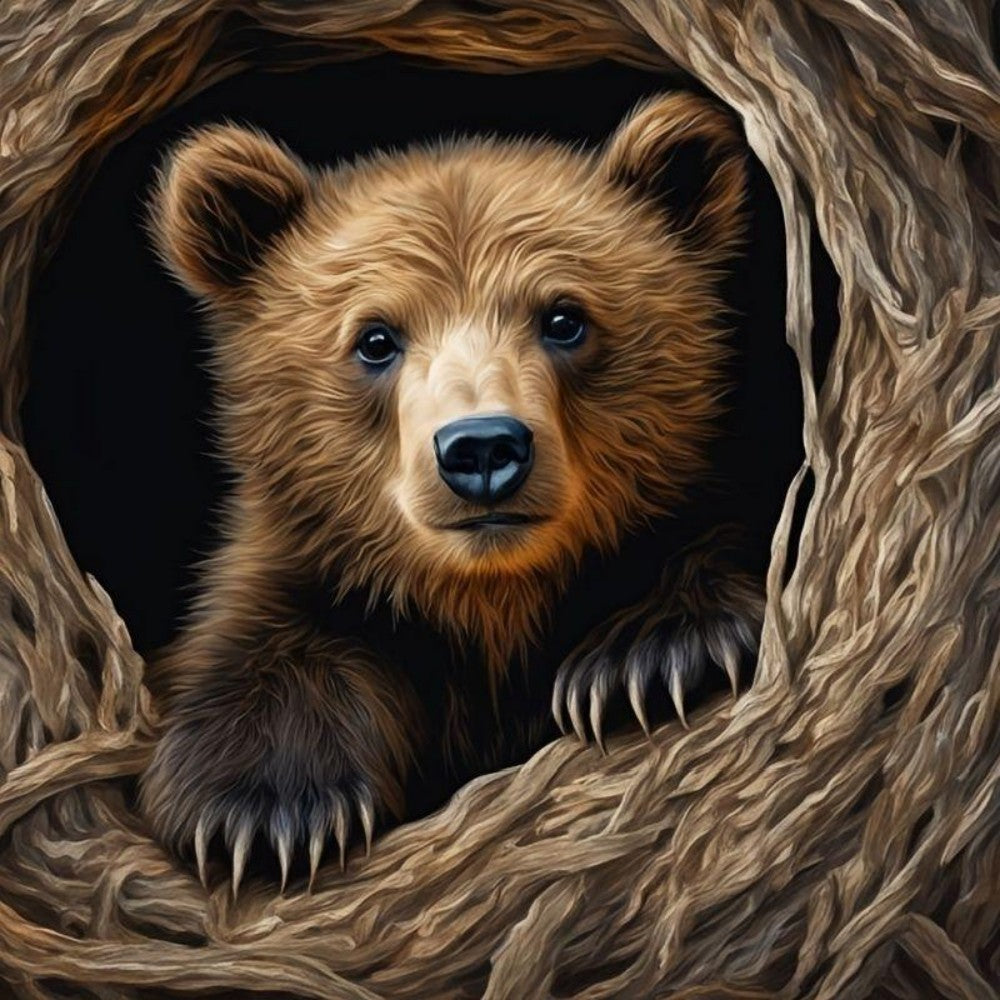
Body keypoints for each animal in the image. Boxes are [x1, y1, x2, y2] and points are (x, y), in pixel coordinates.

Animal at [139, 92, 765, 894]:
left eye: (564, 317)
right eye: (375, 337)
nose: (482, 449)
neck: (489, 604)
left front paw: (654, 657)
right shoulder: (315, 578)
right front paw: (266, 808)